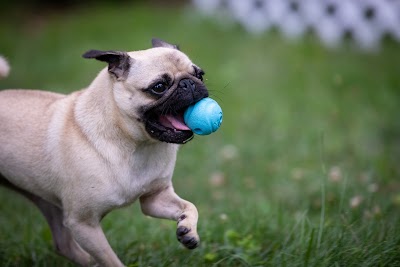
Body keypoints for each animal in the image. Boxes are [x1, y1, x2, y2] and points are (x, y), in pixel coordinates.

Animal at [0, 38, 209, 266]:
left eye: (200, 75)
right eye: (159, 87)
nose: (189, 83)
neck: (135, 143)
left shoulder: (155, 198)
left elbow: (190, 206)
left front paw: (188, 230)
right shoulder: (84, 224)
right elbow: (111, 261)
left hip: (48, 203)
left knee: (64, 245)